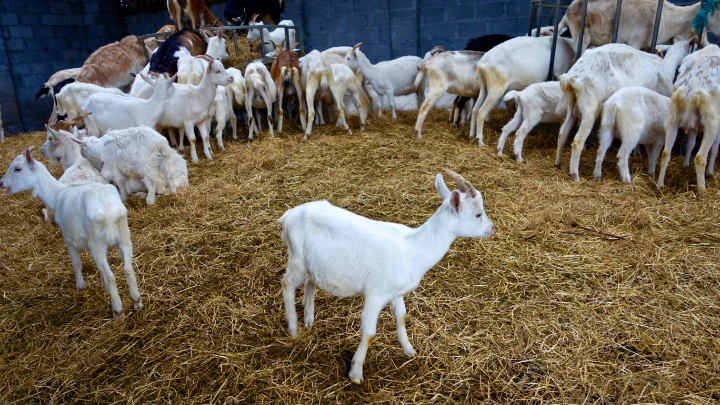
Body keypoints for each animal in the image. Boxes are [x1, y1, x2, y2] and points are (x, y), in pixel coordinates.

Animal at [0, 147, 142, 319]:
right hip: (125, 236)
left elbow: (76, 263)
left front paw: (80, 287)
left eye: (17, 168)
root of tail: (110, 212)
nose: (1, 183)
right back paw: (137, 302)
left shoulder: (68, 237)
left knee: (110, 276)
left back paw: (117, 311)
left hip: (97, 244)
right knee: (128, 269)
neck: (57, 194)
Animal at [278, 170, 494, 384]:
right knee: (287, 284)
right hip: (297, 257)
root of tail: (287, 216)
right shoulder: (376, 293)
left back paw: (308, 319)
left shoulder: (395, 292)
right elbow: (369, 332)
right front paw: (356, 374)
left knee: (310, 282)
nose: (492, 228)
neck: (413, 248)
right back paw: (294, 328)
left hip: (314, 265)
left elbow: (402, 316)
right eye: (478, 214)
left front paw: (409, 350)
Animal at [555, 37, 697, 181]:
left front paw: (637, 153)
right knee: (577, 141)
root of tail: (573, 75)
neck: (667, 67)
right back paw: (575, 175)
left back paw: (558, 164)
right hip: (589, 107)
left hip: (572, 105)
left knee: (562, 133)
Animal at [658, 44, 720, 190]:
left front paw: (685, 164)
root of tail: (692, 84)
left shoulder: (693, 124)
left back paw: (659, 185)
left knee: (665, 153)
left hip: (672, 118)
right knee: (700, 157)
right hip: (711, 122)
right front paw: (710, 172)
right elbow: (715, 147)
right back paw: (702, 190)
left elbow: (691, 143)